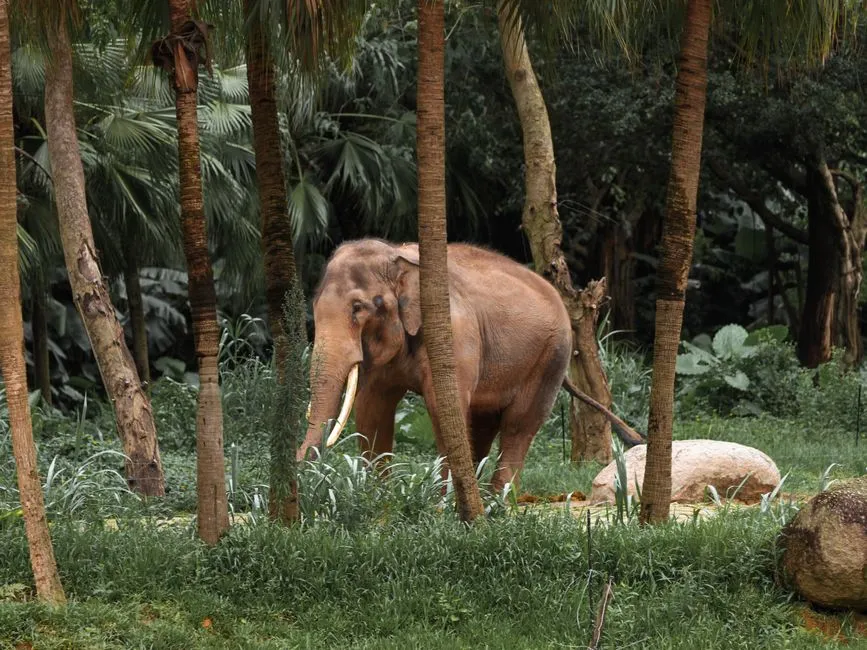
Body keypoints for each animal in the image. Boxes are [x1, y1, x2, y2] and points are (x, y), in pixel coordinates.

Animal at [299, 237, 644, 491]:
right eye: (313, 306)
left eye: (358, 308)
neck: (399, 255)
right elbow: (372, 408)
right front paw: (380, 500)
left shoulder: (453, 333)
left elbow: (443, 409)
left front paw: (436, 509)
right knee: (483, 425)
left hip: (551, 357)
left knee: (519, 425)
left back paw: (497, 504)